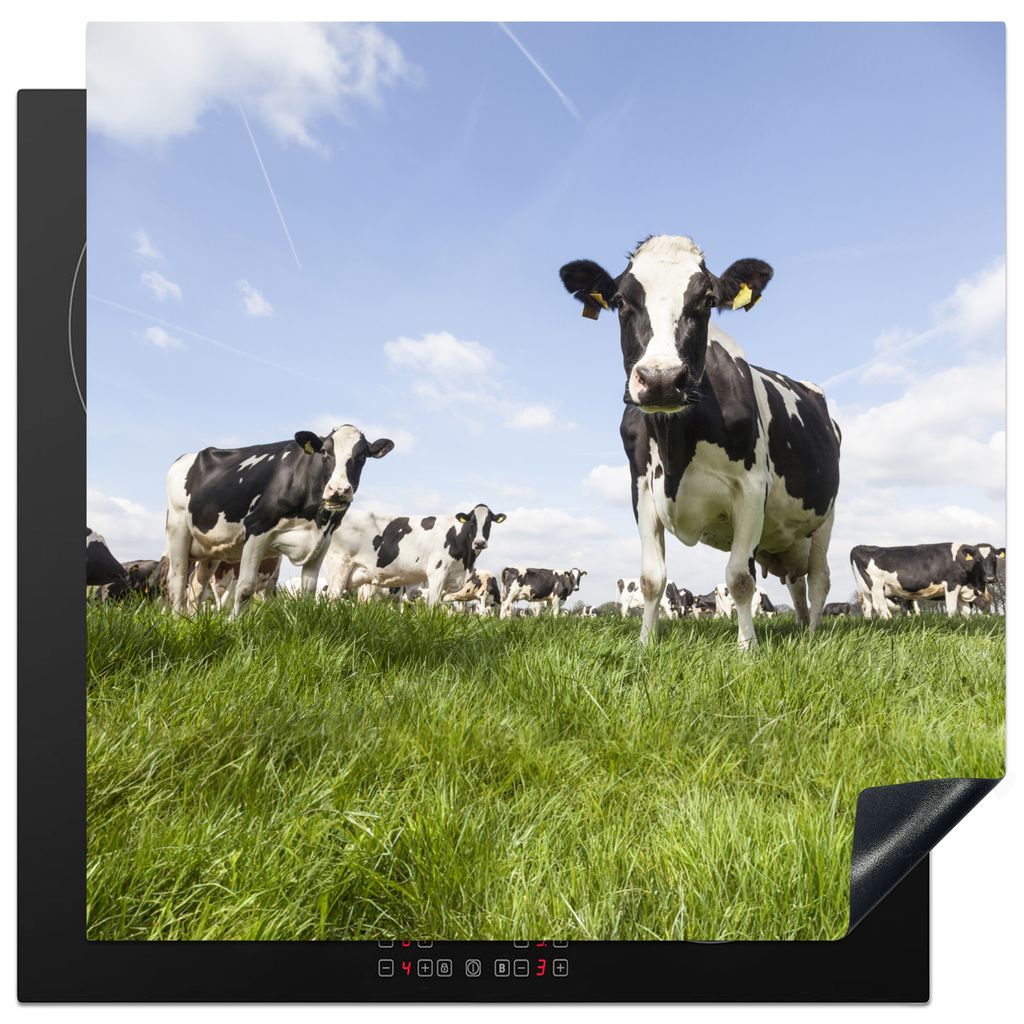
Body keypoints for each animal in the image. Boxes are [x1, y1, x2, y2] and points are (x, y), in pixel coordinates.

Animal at [165, 425, 393, 618]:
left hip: (210, 548)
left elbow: (308, 591)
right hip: (178, 529)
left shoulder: (322, 540)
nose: (338, 490)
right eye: (325, 452)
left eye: (362, 455)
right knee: (177, 581)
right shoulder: (257, 528)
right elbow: (245, 588)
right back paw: (177, 621)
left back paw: (192, 620)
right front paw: (233, 624)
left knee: (197, 587)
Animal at [323, 504, 506, 606]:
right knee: (331, 599)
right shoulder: (437, 572)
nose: (480, 543)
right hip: (338, 568)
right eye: (472, 522)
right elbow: (433, 606)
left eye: (489, 522)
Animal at [560, 234, 840, 650]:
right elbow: (651, 578)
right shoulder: (642, 489)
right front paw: (645, 645)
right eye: (621, 301)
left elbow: (740, 578)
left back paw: (813, 635)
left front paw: (747, 648)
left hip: (824, 517)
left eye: (707, 300)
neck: (677, 445)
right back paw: (801, 627)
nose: (661, 379)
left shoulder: (751, 489)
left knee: (819, 579)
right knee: (796, 584)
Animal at [850, 542, 998, 620]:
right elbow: (951, 609)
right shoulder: (952, 585)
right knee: (880, 607)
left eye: (994, 559)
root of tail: (859, 547)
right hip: (877, 586)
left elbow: (966, 613)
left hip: (866, 590)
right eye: (977, 559)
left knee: (867, 607)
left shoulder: (963, 590)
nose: (990, 578)